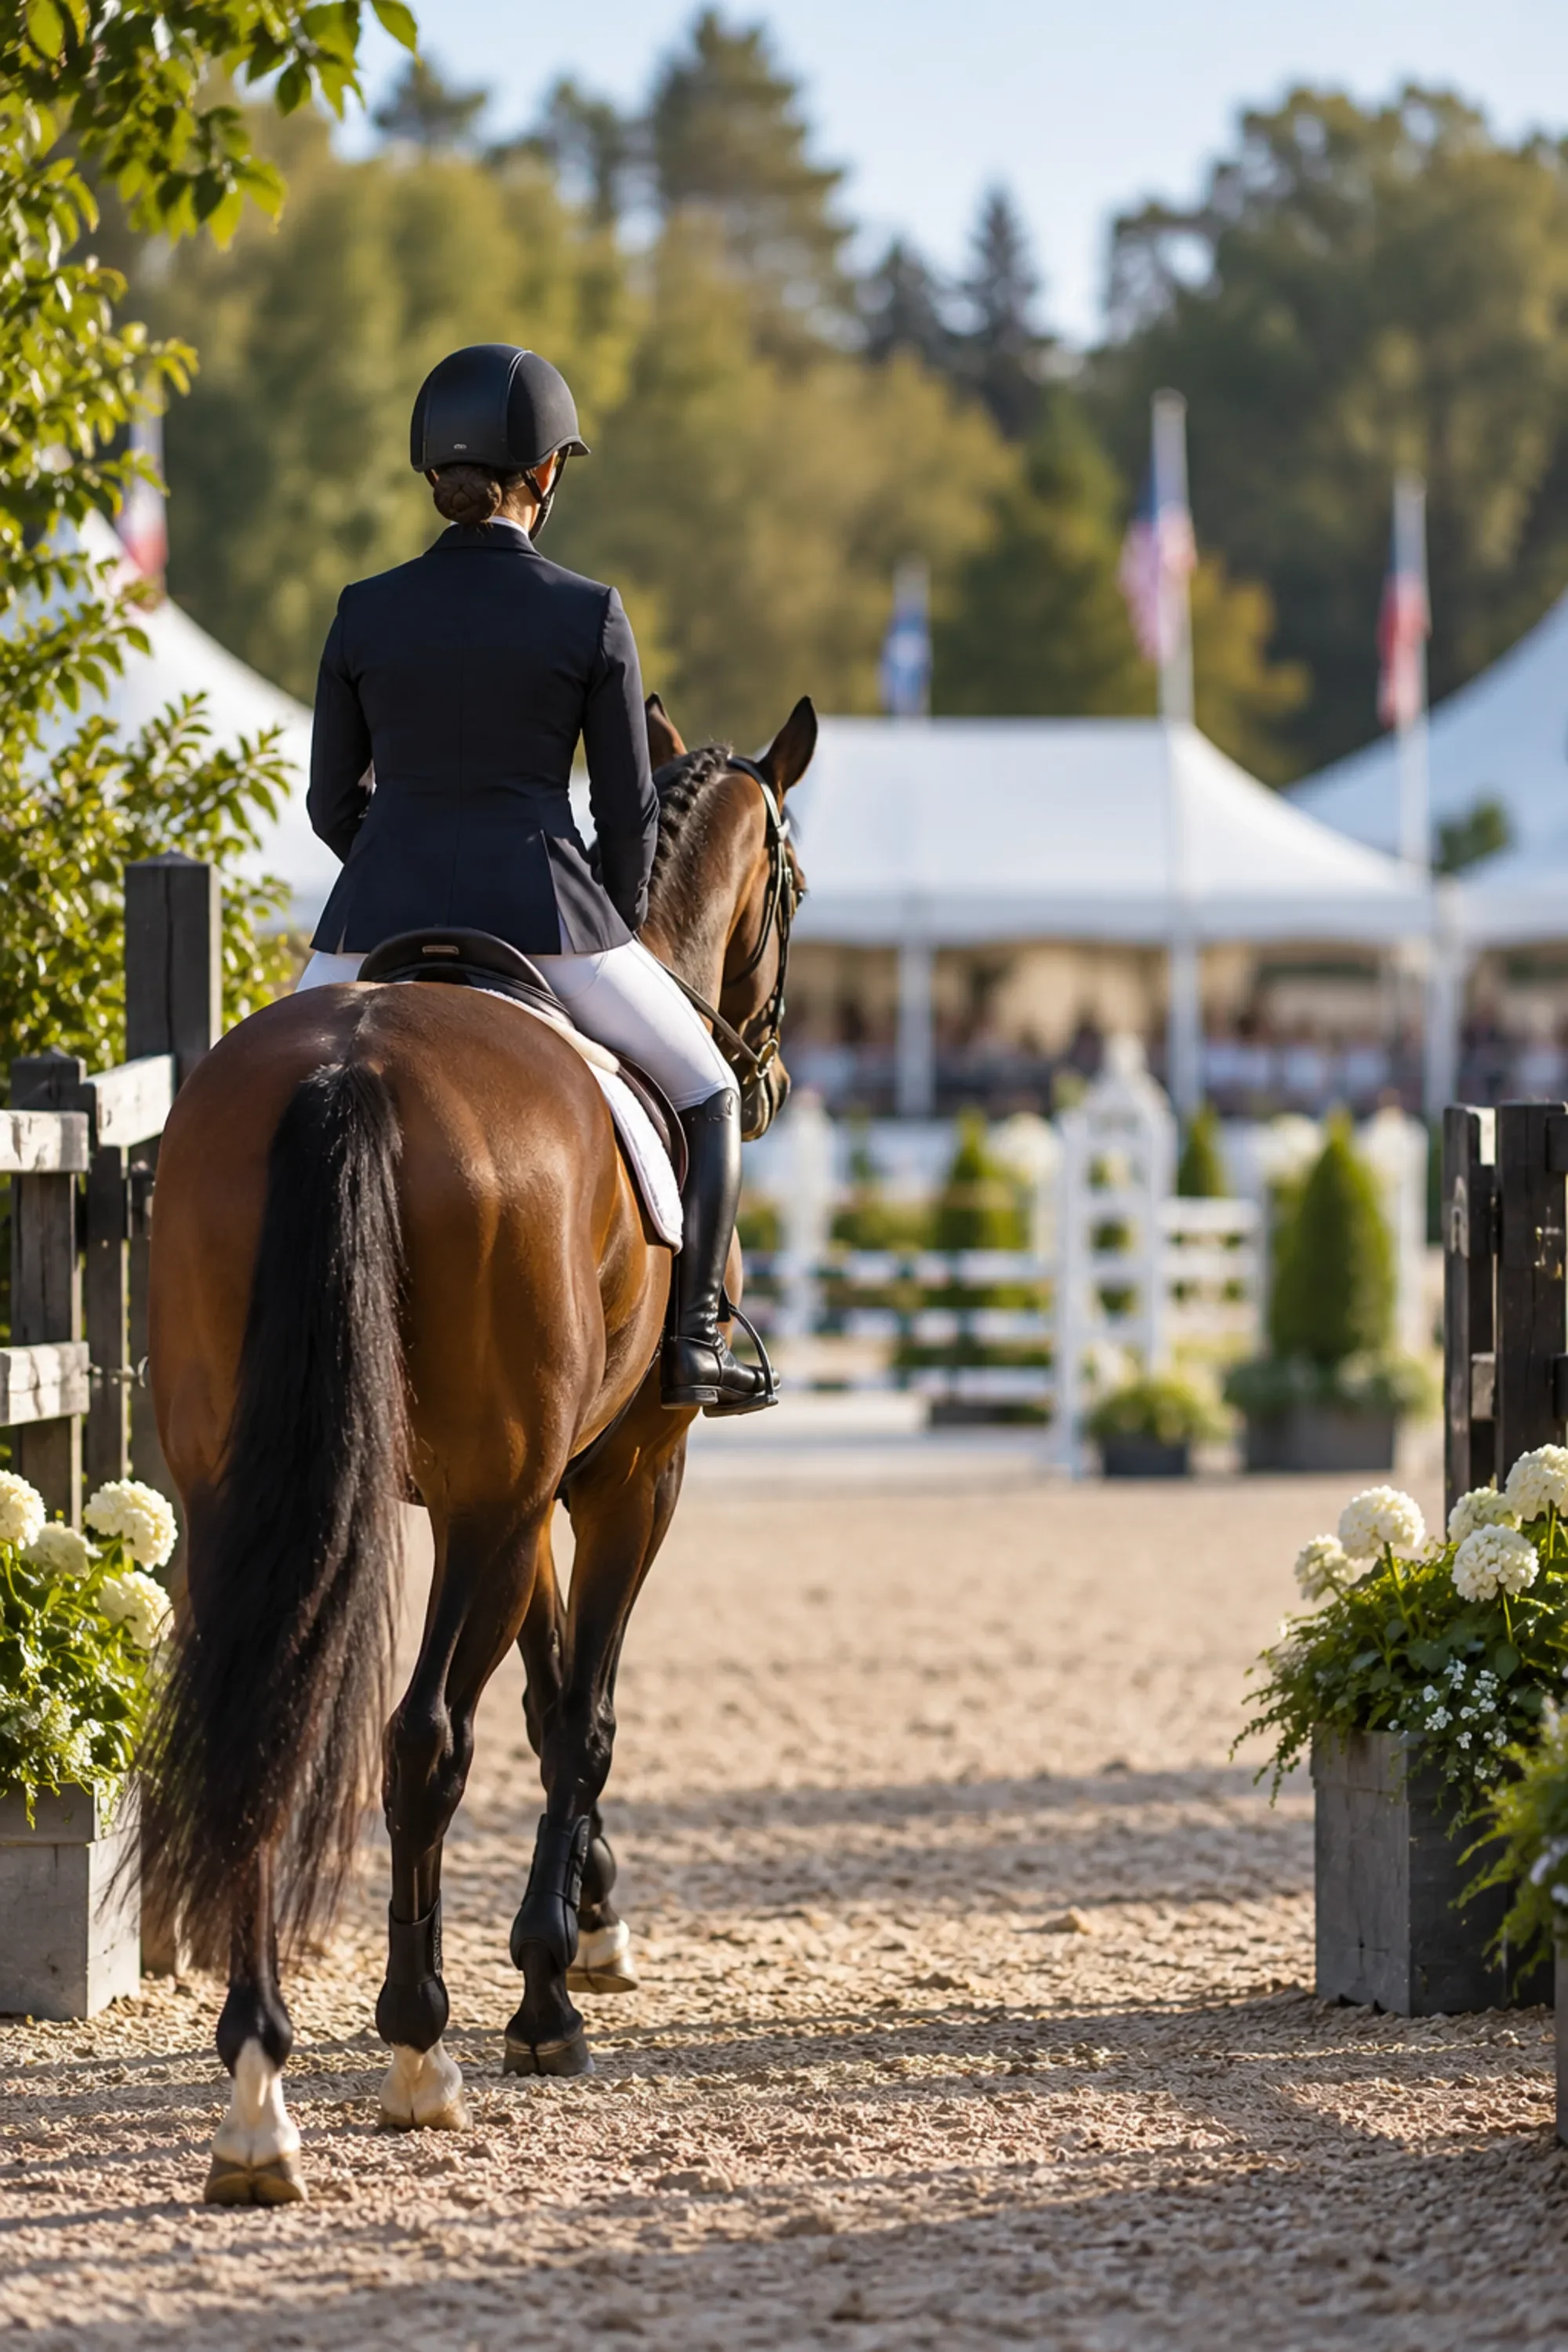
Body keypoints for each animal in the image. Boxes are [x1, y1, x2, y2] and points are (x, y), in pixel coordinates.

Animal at [141, 692, 816, 2204]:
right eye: (794, 887)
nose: (768, 1074)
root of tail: (351, 1066)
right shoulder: (620, 1477)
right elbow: (583, 1714)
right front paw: (551, 1990)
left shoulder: (530, 1487)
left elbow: (551, 1694)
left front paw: (585, 1930)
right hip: (495, 1505)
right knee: (419, 1740)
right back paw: (415, 2050)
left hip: (249, 1498)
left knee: (265, 1717)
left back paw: (258, 2094)